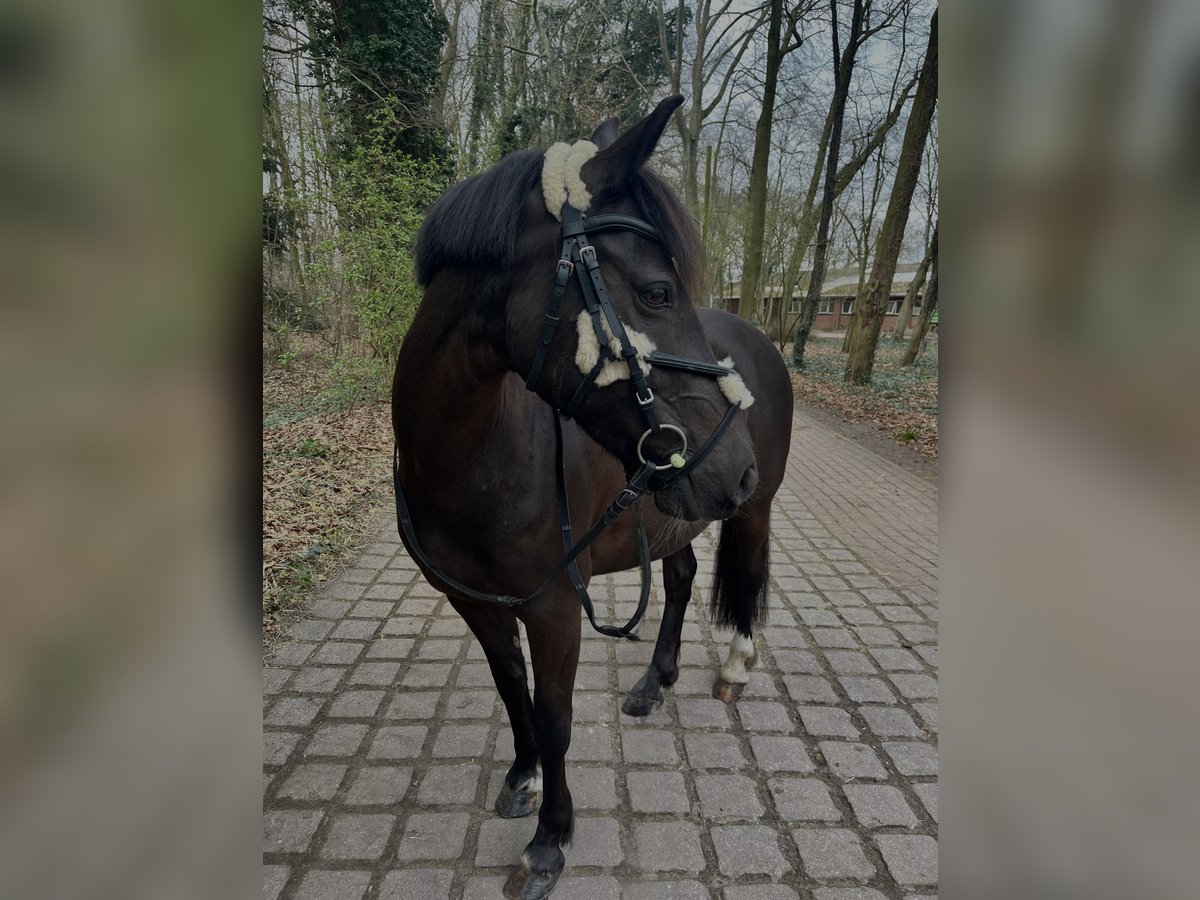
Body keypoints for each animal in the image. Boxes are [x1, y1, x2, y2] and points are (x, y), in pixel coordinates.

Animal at [388, 95, 792, 897]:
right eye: (658, 292)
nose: (734, 466)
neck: (469, 459)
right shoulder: (475, 602)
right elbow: (511, 688)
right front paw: (521, 778)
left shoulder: (552, 606)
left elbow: (555, 716)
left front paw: (551, 842)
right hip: (675, 514)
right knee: (680, 579)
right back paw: (653, 682)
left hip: (750, 512)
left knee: (746, 574)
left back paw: (734, 667)